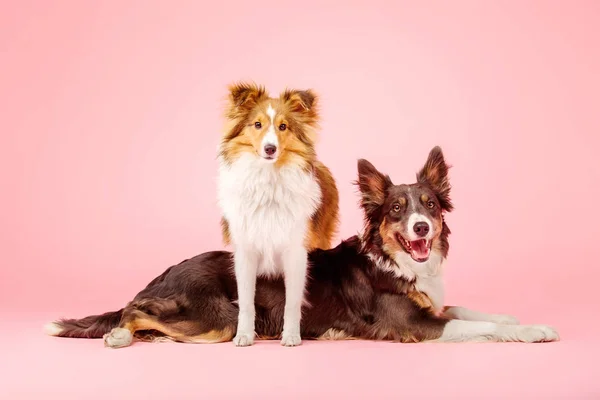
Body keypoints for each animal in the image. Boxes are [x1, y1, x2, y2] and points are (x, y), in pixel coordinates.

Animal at [45, 147, 556, 346]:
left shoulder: (432, 305)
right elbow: (477, 326)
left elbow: (474, 310)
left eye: (429, 205)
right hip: (219, 318)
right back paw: (117, 333)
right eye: (396, 210)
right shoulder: (413, 325)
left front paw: (519, 319)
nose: (420, 229)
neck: (393, 261)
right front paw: (533, 330)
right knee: (136, 310)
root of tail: (165, 272)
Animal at [217, 83, 340, 346]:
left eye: (283, 126)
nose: (270, 149)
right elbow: (246, 301)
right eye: (257, 124)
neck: (268, 179)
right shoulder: (245, 251)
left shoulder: (296, 251)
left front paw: (292, 336)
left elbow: (292, 302)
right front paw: (244, 335)